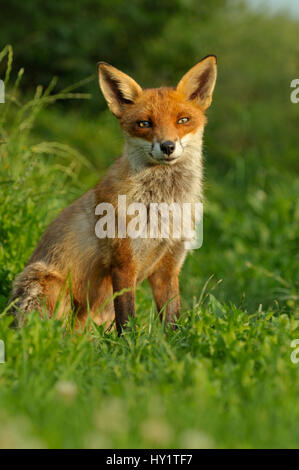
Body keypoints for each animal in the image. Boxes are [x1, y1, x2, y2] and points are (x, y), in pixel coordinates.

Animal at [9, 56, 218, 334]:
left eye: (183, 120)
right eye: (144, 123)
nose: (167, 146)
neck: (164, 205)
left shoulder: (169, 266)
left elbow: (172, 320)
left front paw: (177, 343)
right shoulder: (123, 261)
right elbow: (127, 317)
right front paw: (129, 344)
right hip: (47, 284)